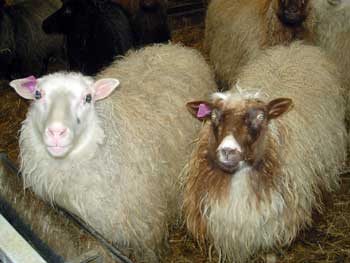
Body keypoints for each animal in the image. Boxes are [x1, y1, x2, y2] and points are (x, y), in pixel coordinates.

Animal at [9, 43, 217, 262]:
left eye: (88, 98)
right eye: (37, 95)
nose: (56, 132)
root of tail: (173, 47)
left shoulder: (146, 226)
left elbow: (149, 252)